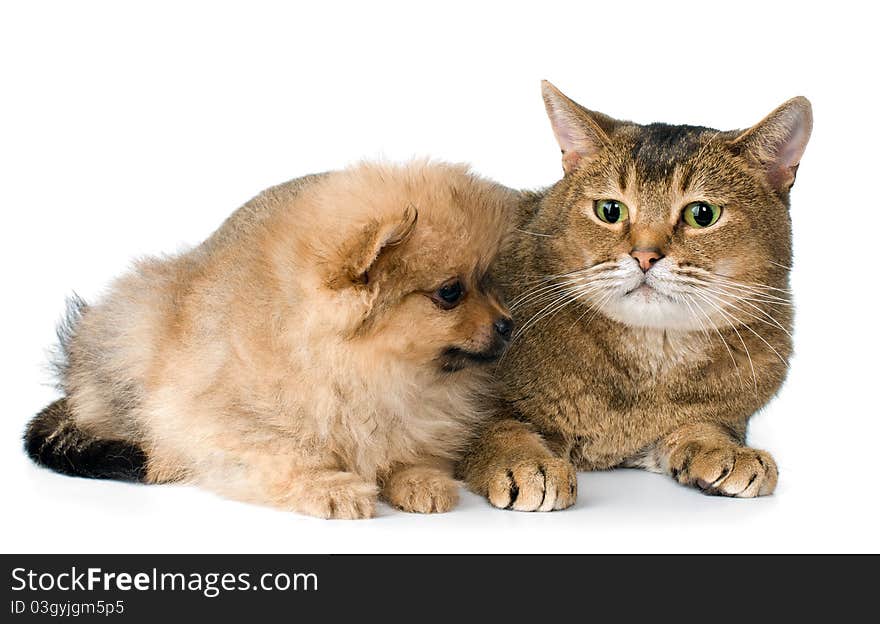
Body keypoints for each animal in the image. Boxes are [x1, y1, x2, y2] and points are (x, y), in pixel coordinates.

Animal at [25, 160, 516, 516]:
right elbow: (284, 452)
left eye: (490, 282)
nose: (508, 324)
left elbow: (408, 446)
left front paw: (418, 478)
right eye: (450, 293)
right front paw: (330, 487)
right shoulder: (221, 416)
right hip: (133, 335)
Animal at [460, 81, 812, 512]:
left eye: (702, 214)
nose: (645, 256)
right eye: (610, 210)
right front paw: (525, 462)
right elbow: (496, 427)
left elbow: (703, 425)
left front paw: (726, 450)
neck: (651, 363)